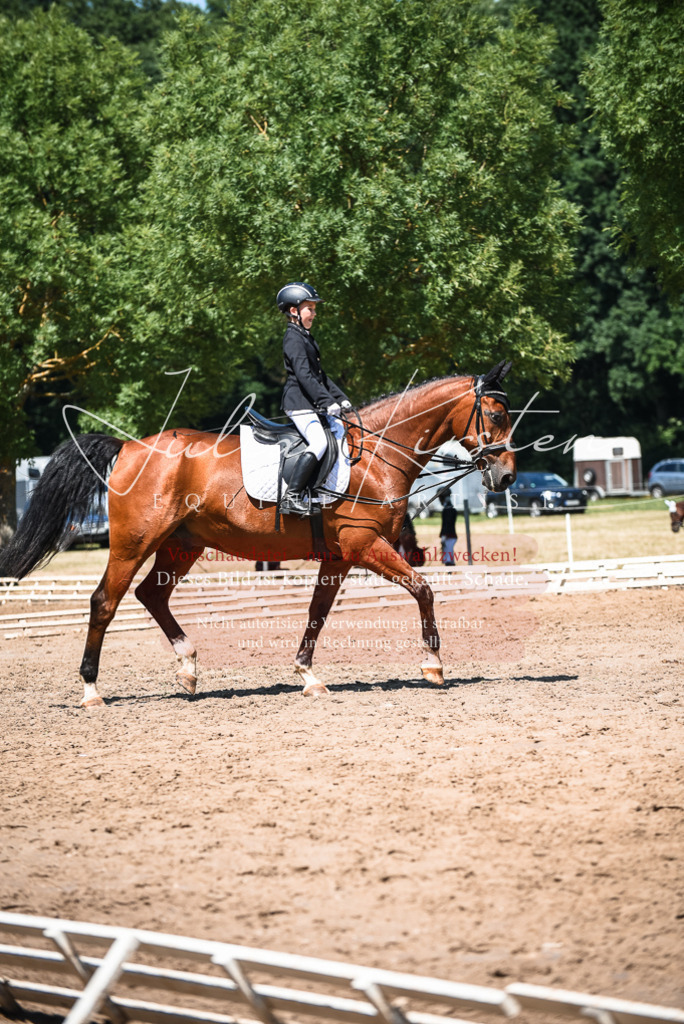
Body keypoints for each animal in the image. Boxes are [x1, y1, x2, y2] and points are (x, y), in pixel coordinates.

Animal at [0, 361, 516, 706]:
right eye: (494, 416)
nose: (506, 476)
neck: (376, 455)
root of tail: (128, 447)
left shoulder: (340, 557)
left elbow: (317, 614)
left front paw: (308, 676)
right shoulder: (364, 546)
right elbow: (423, 590)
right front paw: (433, 666)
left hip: (181, 545)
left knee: (152, 596)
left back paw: (188, 669)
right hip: (134, 543)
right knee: (105, 601)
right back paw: (91, 689)